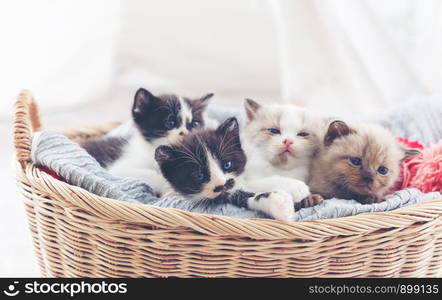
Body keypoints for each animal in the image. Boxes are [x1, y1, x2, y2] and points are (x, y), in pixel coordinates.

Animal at [155, 117, 318, 220]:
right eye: (199, 175)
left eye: (227, 164)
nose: (222, 184)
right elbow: (242, 192)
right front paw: (282, 203)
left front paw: (294, 187)